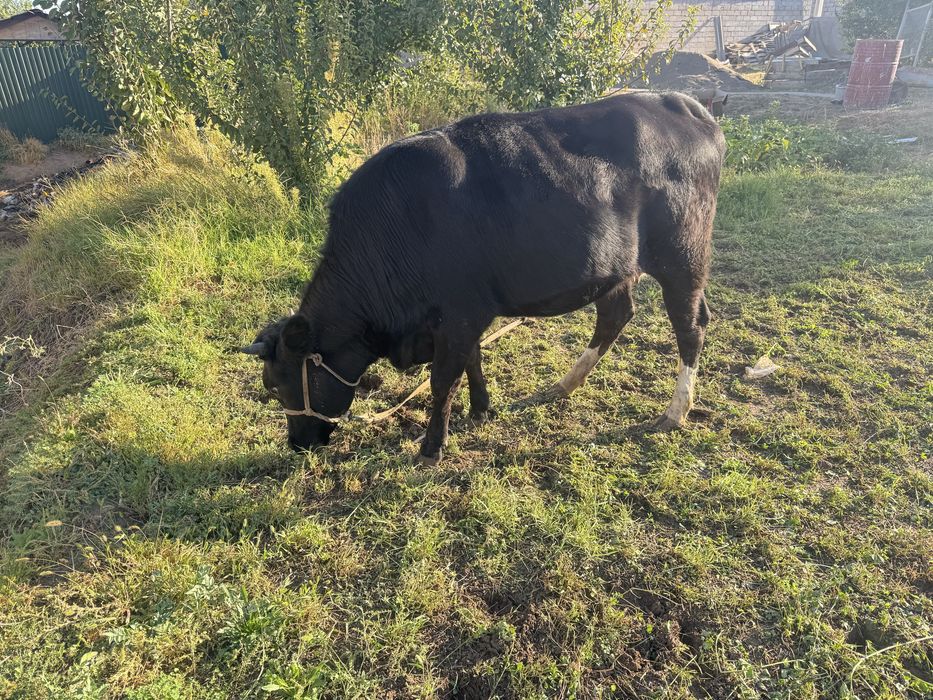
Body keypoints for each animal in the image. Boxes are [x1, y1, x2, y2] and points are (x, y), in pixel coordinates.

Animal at [242, 91, 726, 465]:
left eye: (280, 386)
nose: (296, 445)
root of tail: (681, 104)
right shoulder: (466, 313)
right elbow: (473, 360)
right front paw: (480, 410)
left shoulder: (457, 314)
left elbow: (443, 381)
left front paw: (431, 449)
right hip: (616, 265)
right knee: (615, 315)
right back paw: (560, 387)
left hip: (682, 256)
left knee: (690, 326)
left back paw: (674, 412)